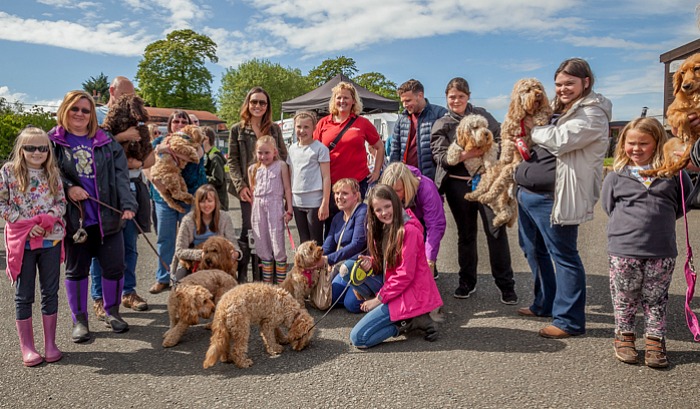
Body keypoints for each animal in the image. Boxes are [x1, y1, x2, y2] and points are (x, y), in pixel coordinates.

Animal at [464, 78, 552, 228]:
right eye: (528, 89)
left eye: (539, 88)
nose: (539, 94)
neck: (526, 115)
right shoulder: (508, 129)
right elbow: (507, 141)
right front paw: (506, 155)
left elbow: (543, 113)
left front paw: (540, 118)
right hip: (492, 175)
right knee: (487, 187)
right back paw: (474, 196)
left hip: (508, 173)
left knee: (499, 190)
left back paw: (490, 205)